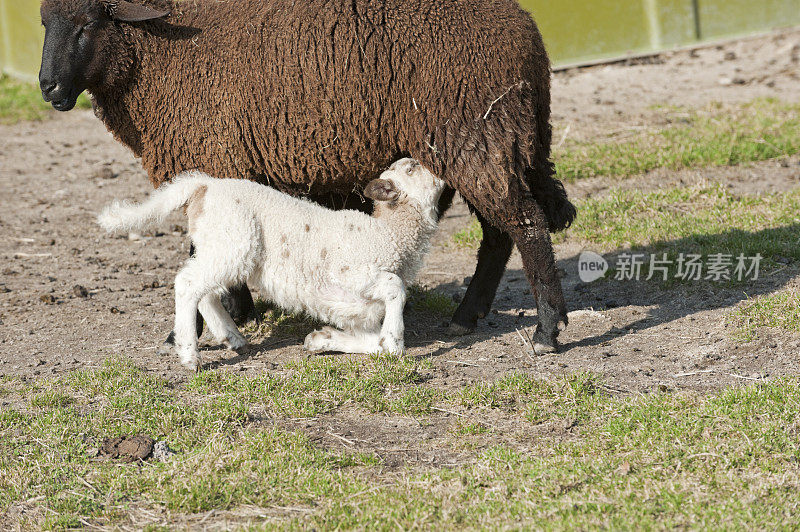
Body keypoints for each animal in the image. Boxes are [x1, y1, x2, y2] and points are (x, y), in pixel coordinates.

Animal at [97, 158, 446, 370]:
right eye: (413, 168)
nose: (442, 172)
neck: (388, 233)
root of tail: (205, 186)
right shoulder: (352, 274)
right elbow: (396, 291)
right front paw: (395, 340)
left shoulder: (359, 311)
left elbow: (374, 340)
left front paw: (322, 340)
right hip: (234, 243)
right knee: (188, 283)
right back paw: (189, 354)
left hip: (220, 246)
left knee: (204, 291)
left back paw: (232, 337)